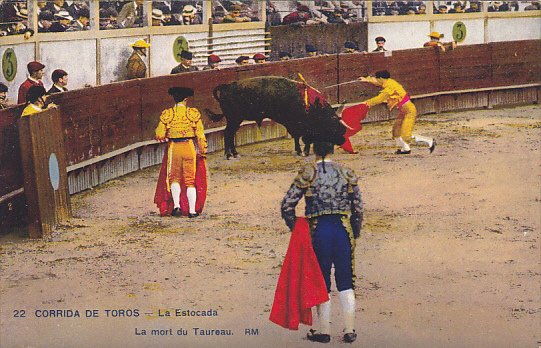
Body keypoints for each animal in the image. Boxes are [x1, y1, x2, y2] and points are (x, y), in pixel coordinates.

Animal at [202, 77, 346, 160]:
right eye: (333, 125)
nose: (343, 139)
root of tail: (226, 86)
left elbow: (305, 138)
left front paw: (304, 151)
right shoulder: (295, 124)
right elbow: (298, 137)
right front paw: (300, 151)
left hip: (236, 119)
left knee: (231, 134)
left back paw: (235, 153)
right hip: (234, 118)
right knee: (228, 134)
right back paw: (228, 155)